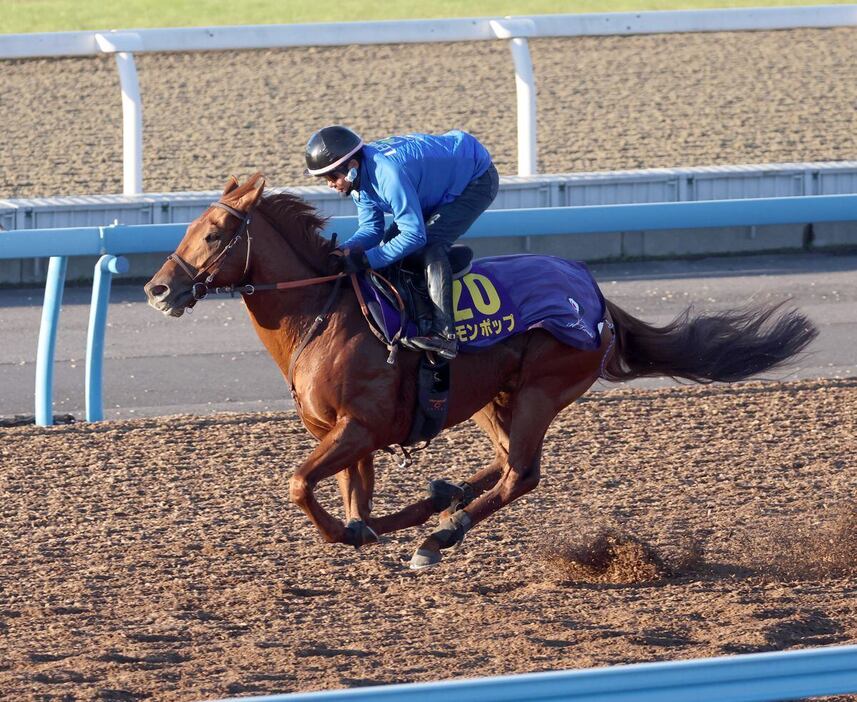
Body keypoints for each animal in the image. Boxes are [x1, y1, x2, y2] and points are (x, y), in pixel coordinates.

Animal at [145, 176, 816, 572]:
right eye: (189, 228)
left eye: (214, 232)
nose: (158, 288)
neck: (324, 312)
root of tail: (595, 294)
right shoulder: (342, 433)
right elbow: (350, 498)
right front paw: (367, 529)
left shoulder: (359, 427)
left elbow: (300, 486)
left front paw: (354, 533)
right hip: (495, 395)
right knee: (501, 463)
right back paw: (437, 507)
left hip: (541, 389)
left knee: (522, 473)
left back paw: (441, 534)